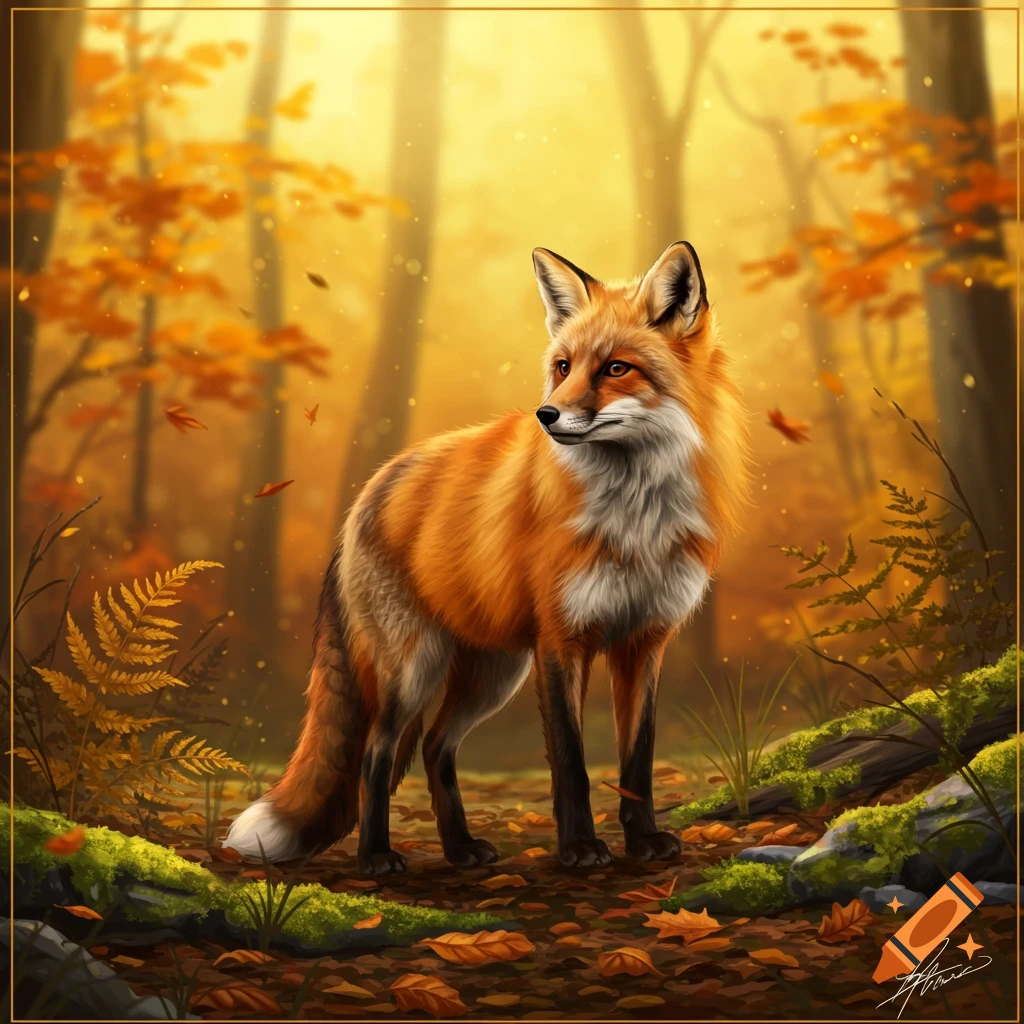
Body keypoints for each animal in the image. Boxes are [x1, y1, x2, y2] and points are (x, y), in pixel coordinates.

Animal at [224, 240, 749, 876]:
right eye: (563, 367)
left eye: (616, 368)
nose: (546, 416)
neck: (636, 517)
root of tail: (370, 489)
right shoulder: (561, 642)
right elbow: (571, 763)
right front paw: (579, 848)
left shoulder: (643, 641)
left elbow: (637, 763)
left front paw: (643, 839)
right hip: (416, 668)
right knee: (378, 753)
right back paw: (376, 856)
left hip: (492, 674)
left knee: (434, 747)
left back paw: (460, 849)